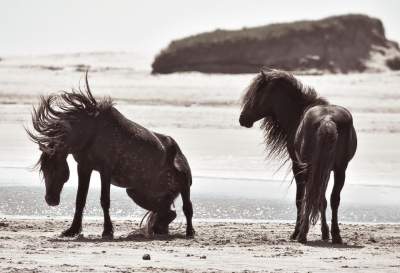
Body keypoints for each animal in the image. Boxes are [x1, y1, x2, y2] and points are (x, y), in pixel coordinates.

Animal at [25, 73, 195, 237]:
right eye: (44, 169)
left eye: (55, 169)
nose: (50, 200)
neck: (90, 132)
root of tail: (178, 151)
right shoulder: (84, 167)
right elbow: (80, 199)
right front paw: (72, 230)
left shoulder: (105, 169)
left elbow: (104, 200)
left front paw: (107, 231)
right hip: (137, 192)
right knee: (167, 211)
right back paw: (159, 228)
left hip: (183, 183)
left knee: (187, 207)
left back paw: (189, 232)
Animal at [239, 68, 358, 242]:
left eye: (256, 93)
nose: (242, 118)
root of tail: (328, 120)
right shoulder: (326, 170)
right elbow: (322, 199)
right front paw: (325, 232)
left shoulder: (298, 165)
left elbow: (300, 198)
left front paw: (296, 232)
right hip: (339, 169)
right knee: (333, 198)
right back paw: (336, 235)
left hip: (311, 167)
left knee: (309, 197)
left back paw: (302, 234)